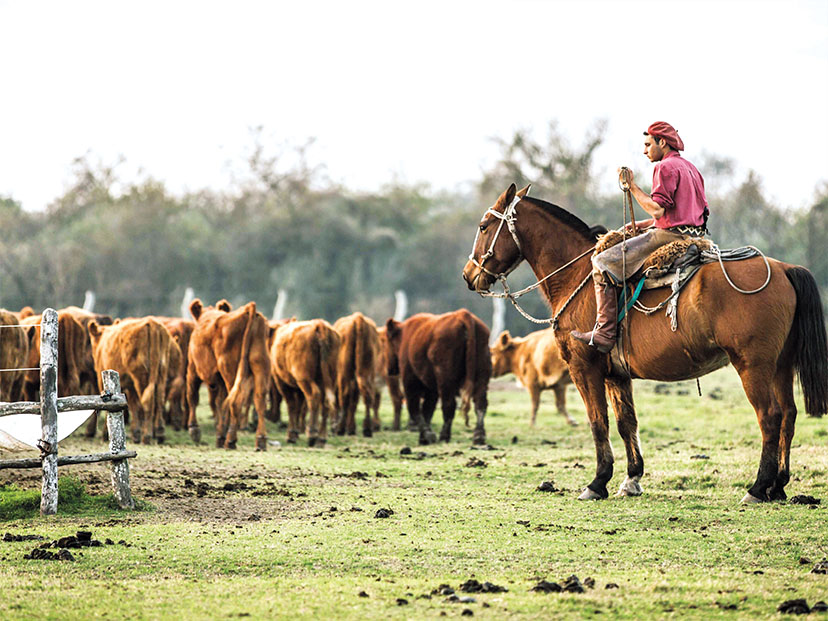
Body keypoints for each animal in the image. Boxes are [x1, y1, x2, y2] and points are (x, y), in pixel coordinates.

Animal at [186, 298, 270, 448]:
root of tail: (247, 310)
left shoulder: (192, 369)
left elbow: (192, 396)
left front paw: (194, 430)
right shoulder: (219, 380)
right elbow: (220, 402)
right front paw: (220, 435)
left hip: (231, 372)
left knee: (235, 403)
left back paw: (231, 440)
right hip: (260, 366)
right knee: (260, 400)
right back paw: (260, 440)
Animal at [384, 310, 488, 446]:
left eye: (387, 342)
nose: (389, 369)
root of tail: (462, 314)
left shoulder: (410, 381)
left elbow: (416, 409)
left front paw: (427, 435)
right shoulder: (431, 389)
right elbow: (428, 409)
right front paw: (424, 437)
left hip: (445, 381)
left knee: (449, 405)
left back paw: (444, 436)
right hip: (481, 378)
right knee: (480, 404)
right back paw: (479, 436)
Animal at [462, 184, 824, 504]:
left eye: (483, 226)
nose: (468, 275)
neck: (577, 277)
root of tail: (784, 268)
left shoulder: (584, 369)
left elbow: (598, 422)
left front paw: (598, 482)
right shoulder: (616, 375)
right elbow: (626, 423)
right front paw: (632, 478)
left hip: (752, 365)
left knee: (770, 416)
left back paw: (758, 487)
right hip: (780, 366)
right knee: (788, 415)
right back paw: (778, 486)